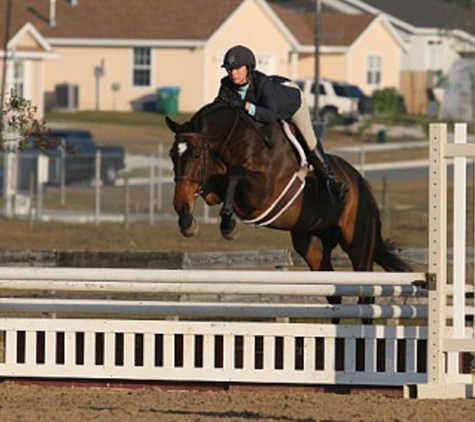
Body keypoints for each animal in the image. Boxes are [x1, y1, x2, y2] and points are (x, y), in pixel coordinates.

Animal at [165, 102, 410, 318]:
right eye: (172, 155)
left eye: (196, 154)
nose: (178, 205)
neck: (238, 138)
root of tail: (364, 187)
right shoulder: (217, 182)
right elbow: (214, 182)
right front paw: (188, 220)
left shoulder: (261, 194)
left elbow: (234, 174)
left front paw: (226, 224)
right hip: (312, 244)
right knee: (334, 293)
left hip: (358, 246)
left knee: (366, 296)